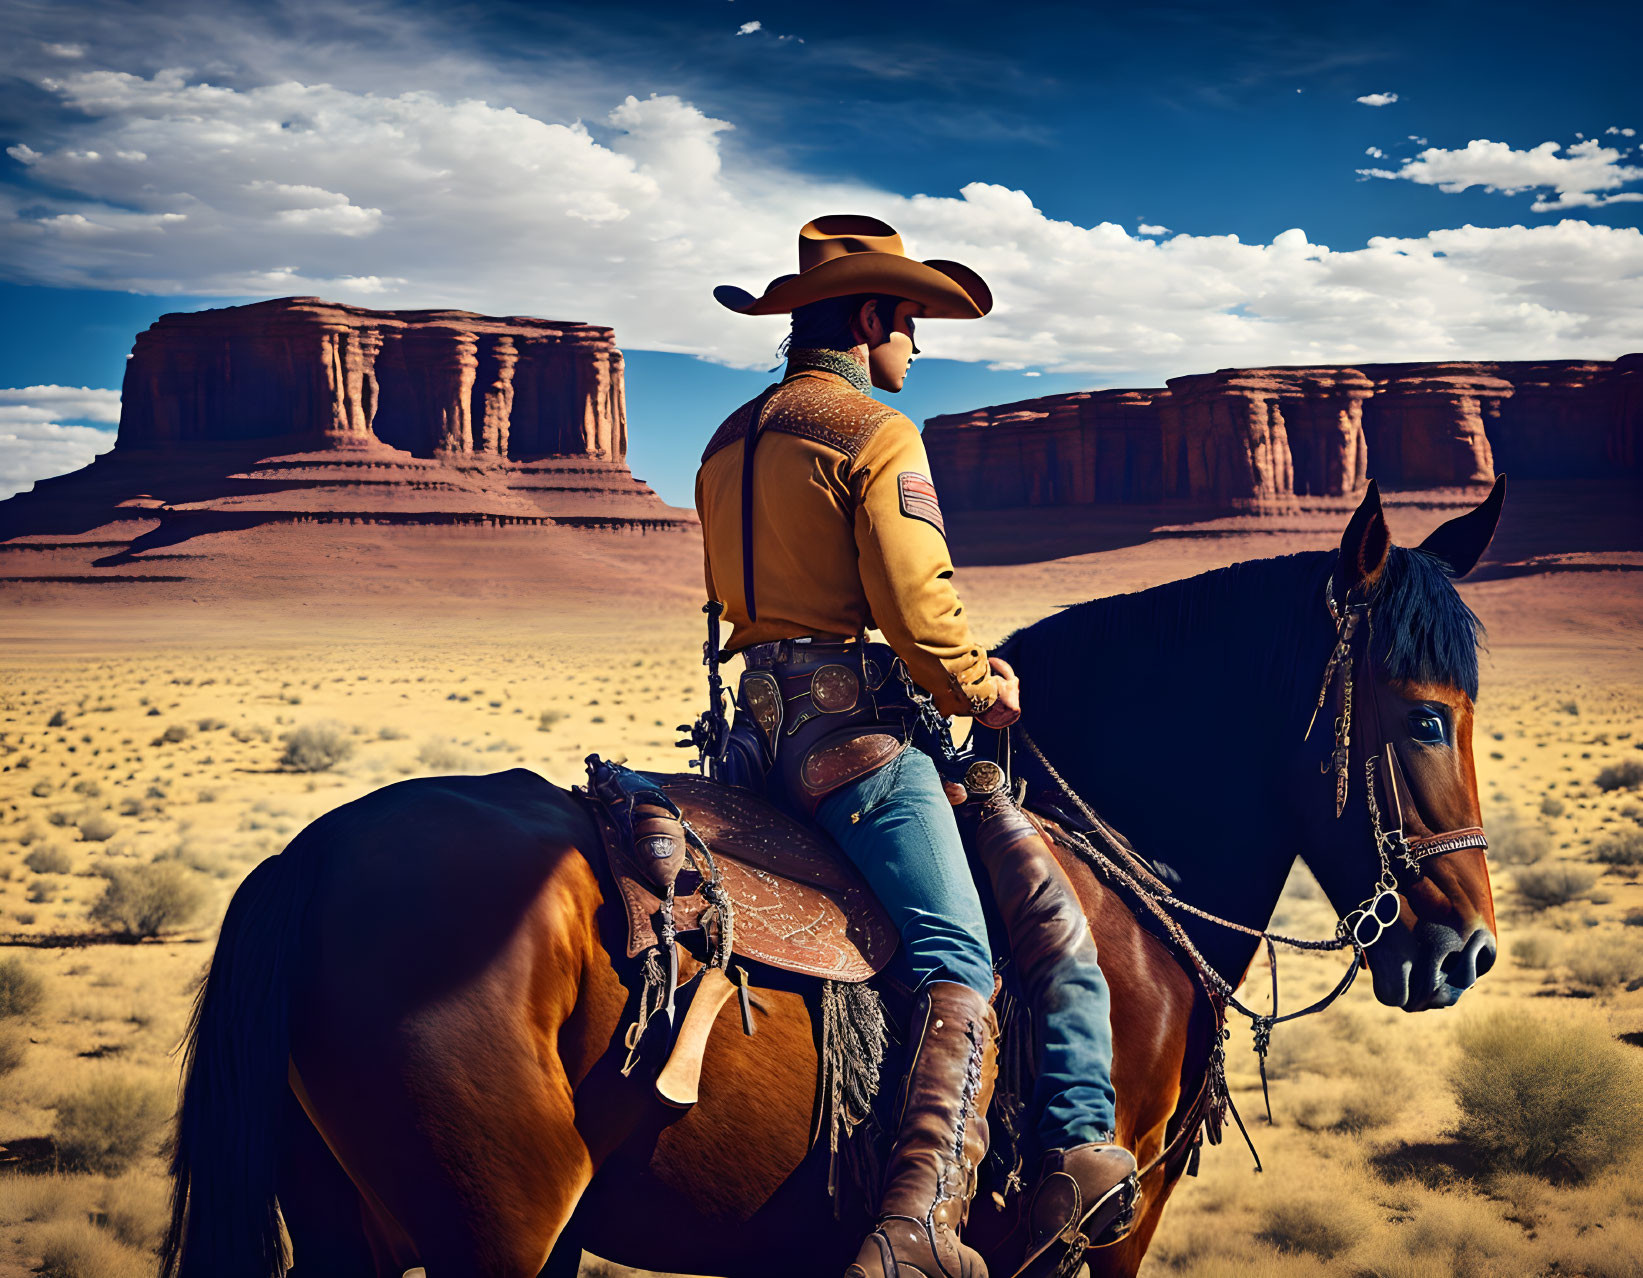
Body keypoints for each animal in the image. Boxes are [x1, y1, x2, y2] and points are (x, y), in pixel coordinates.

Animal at [163, 479, 1504, 1274]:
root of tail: (303, 859)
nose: (1463, 951)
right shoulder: (1093, 1246)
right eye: (1425, 718)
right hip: (501, 1228)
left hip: (350, 1225)